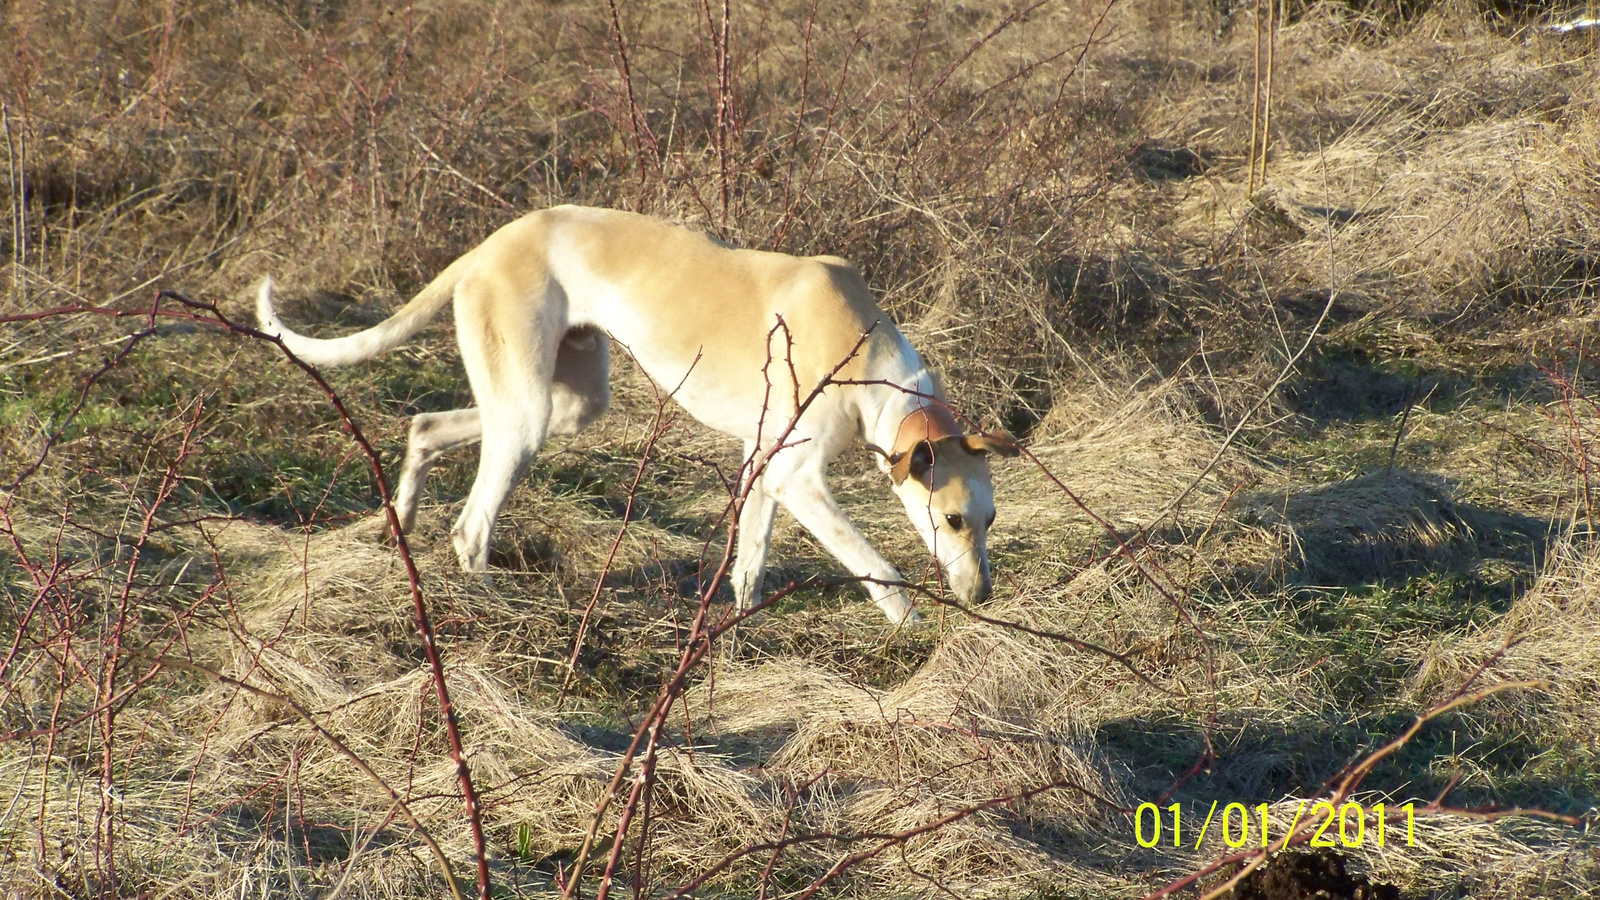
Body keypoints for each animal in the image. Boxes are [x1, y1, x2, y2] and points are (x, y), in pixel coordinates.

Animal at [256, 206, 1017, 621]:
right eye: (953, 519)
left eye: (989, 520)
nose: (981, 596)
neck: (875, 365)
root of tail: (488, 245)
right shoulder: (798, 477)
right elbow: (875, 565)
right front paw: (912, 624)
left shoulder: (763, 464)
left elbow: (750, 559)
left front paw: (736, 627)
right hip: (528, 417)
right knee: (471, 529)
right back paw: (493, 606)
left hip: (562, 404)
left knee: (425, 427)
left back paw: (404, 518)